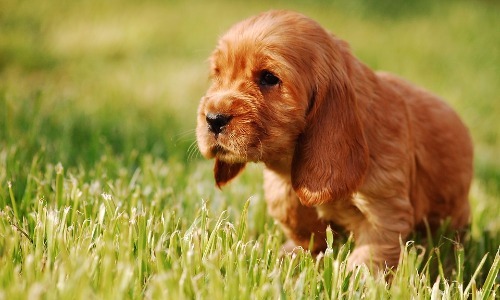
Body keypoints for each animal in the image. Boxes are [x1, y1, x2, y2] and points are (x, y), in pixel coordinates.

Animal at [195, 10, 472, 268]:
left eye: (269, 78)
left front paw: (359, 278)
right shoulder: (284, 189)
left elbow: (374, 249)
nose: (213, 119)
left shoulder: (385, 205)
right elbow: (290, 210)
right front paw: (293, 254)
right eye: (217, 75)